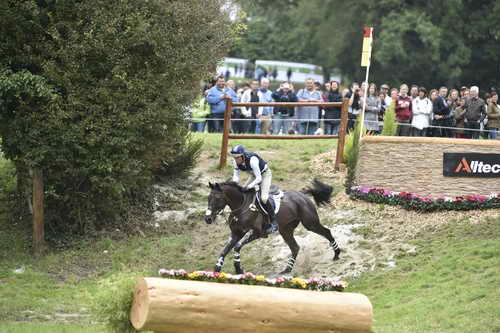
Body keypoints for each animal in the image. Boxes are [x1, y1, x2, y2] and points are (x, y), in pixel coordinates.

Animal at [203, 179, 340, 274]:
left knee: (327, 232)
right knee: (295, 247)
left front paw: (238, 269)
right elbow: (224, 250)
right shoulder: (236, 234)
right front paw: (217, 270)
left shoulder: (256, 233)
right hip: (285, 230)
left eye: (218, 198)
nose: (208, 219)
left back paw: (337, 254)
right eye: (208, 198)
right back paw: (287, 269)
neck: (241, 207)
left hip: (310, 223)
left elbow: (237, 247)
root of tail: (302, 195)